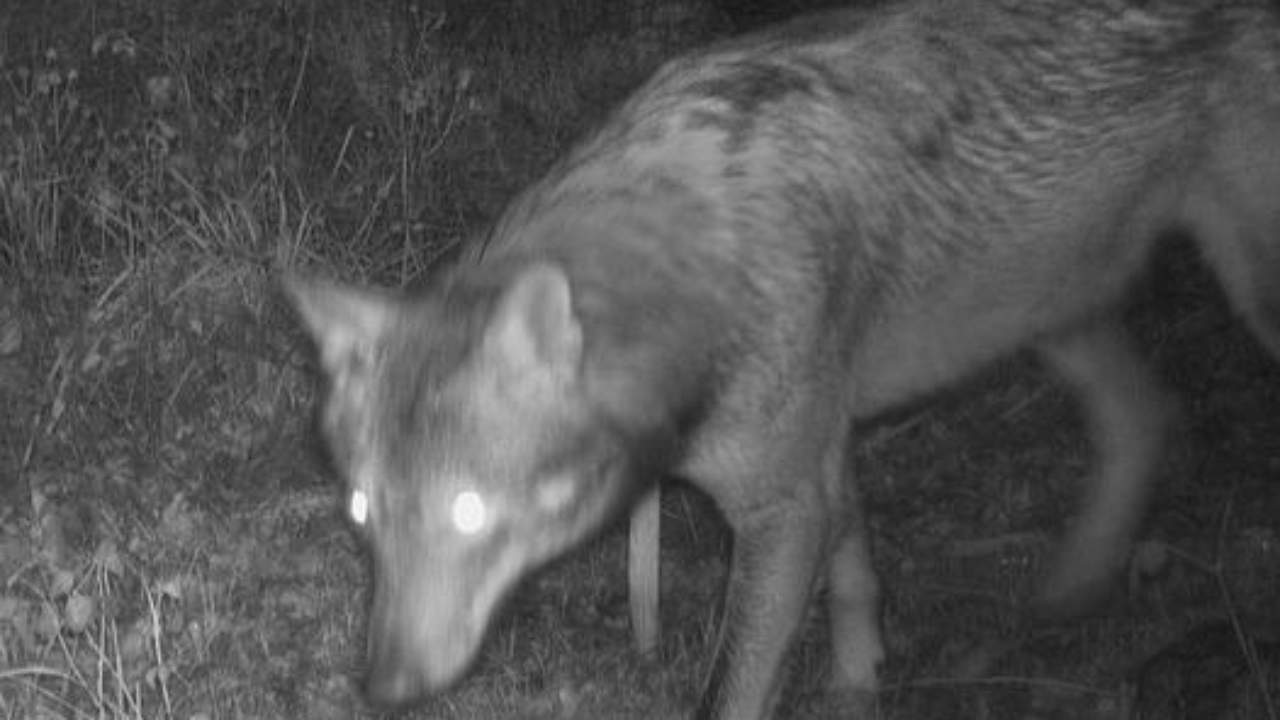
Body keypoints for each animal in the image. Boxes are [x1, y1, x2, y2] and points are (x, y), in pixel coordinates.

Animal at [286, 0, 1280, 717]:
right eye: (363, 511)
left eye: (467, 511)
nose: (384, 689)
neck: (701, 283)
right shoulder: (819, 457)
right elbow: (855, 569)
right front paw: (860, 678)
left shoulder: (782, 505)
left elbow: (733, 690)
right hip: (1049, 308)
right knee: (1147, 416)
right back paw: (1075, 586)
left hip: (1218, 296)